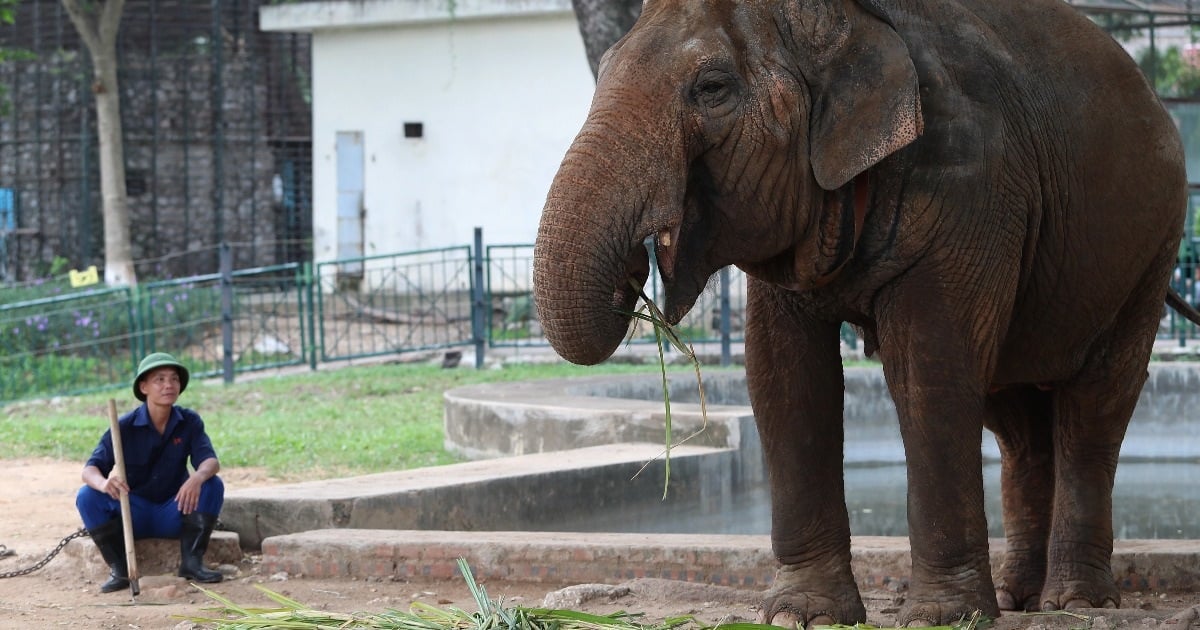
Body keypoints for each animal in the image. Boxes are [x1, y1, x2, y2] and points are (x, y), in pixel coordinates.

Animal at [532, 0, 1200, 624]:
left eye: (712, 88)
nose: (634, 269)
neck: (846, 21)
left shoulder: (969, 186)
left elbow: (932, 369)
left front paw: (940, 618)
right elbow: (783, 377)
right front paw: (803, 614)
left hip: (1150, 249)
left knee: (1094, 404)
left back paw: (1074, 601)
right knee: (1015, 420)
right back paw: (1019, 598)